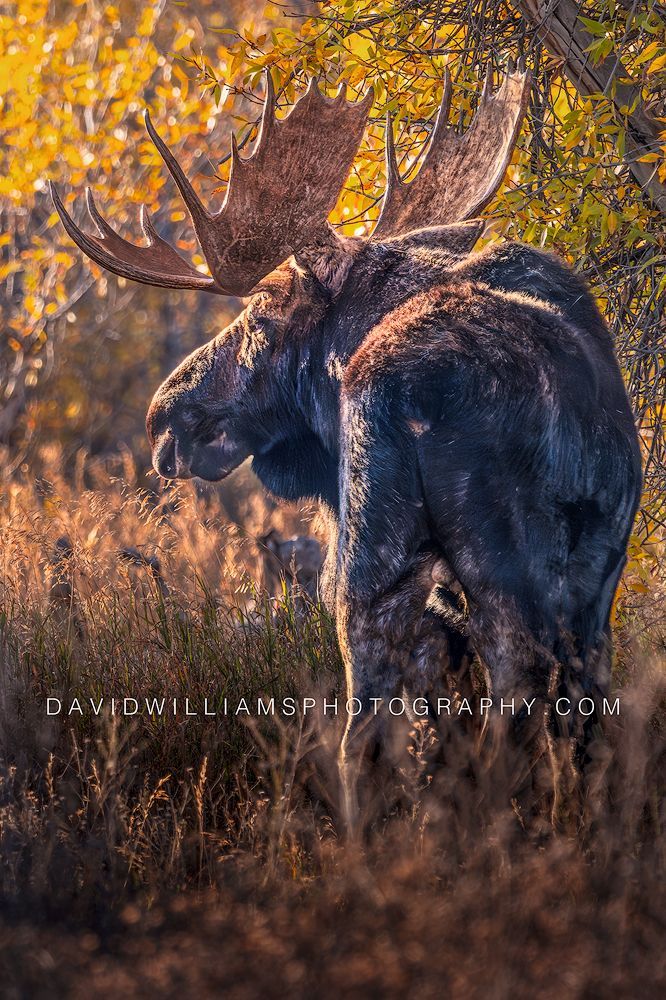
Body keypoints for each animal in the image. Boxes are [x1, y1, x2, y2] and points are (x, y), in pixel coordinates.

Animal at [51, 64, 642, 820]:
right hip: (589, 570)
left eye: (261, 316)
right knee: (578, 715)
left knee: (405, 719)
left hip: (398, 556)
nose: (163, 415)